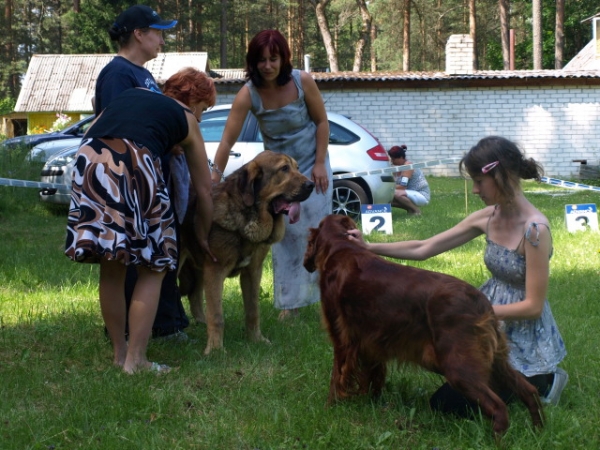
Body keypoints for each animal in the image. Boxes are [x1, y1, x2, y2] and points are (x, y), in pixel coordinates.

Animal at [304, 216, 544, 434]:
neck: (341, 246)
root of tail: (483, 303)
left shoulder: (342, 338)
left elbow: (337, 376)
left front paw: (330, 408)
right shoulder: (370, 342)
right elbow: (371, 377)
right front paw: (369, 402)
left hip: (458, 367)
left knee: (499, 408)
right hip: (495, 361)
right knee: (529, 390)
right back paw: (538, 431)